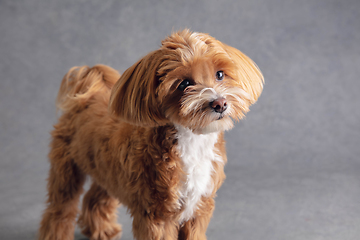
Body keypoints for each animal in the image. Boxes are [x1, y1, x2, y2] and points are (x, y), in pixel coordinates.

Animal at [39, 30, 262, 240]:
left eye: (220, 74)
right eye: (184, 84)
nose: (219, 103)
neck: (192, 142)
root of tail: (86, 97)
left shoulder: (199, 207)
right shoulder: (157, 213)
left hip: (108, 171)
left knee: (96, 197)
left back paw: (102, 230)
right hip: (67, 168)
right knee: (61, 208)